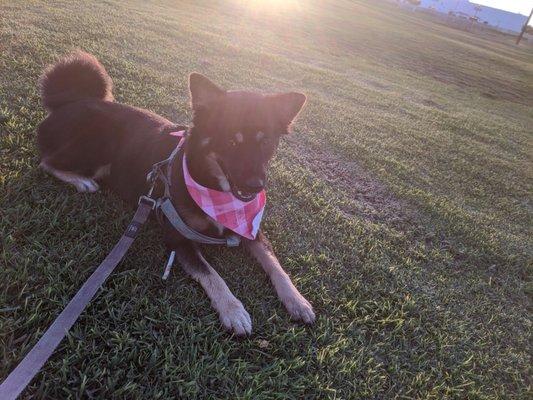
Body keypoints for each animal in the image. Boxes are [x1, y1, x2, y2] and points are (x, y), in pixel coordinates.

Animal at [37, 51, 314, 336]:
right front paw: (234, 310)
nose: (255, 186)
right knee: (46, 162)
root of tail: (69, 102)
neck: (216, 190)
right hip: (97, 145)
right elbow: (212, 274)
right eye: (230, 141)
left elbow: (275, 264)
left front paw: (297, 300)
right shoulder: (178, 237)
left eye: (266, 142)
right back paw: (81, 181)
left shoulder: (252, 228)